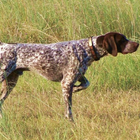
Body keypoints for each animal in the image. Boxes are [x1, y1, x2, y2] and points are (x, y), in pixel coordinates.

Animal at [0, 31, 139, 120]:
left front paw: (77, 89)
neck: (87, 49)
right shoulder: (66, 83)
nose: (137, 44)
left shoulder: (77, 76)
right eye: (122, 40)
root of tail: (3, 45)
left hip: (11, 82)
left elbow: (86, 84)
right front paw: (71, 122)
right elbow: (69, 110)